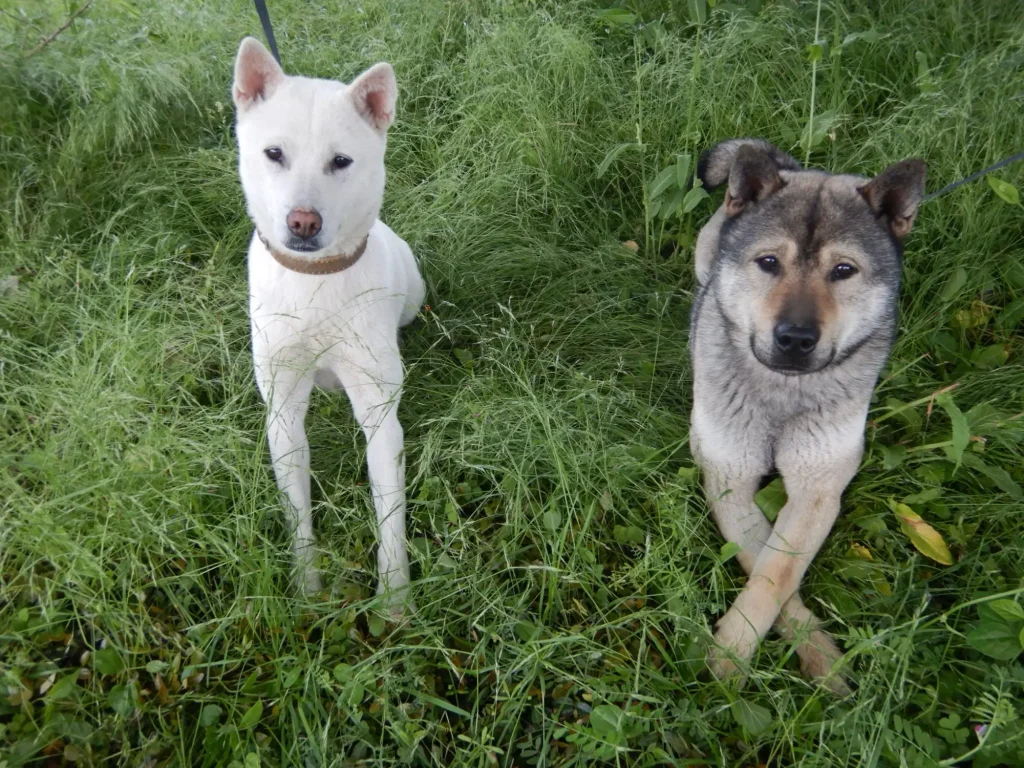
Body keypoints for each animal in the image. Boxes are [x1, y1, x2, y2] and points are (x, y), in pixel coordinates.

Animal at [232, 36, 423, 618]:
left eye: (340, 161)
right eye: (274, 153)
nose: (303, 222)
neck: (315, 282)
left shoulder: (380, 414)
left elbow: (390, 514)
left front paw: (395, 598)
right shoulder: (282, 410)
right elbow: (297, 512)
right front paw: (306, 586)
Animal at [692, 137, 925, 692]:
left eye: (843, 270)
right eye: (768, 262)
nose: (795, 339)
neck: (783, 391)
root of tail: (794, 166)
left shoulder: (818, 488)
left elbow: (776, 574)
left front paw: (806, 659)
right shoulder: (728, 477)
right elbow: (762, 563)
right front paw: (734, 661)